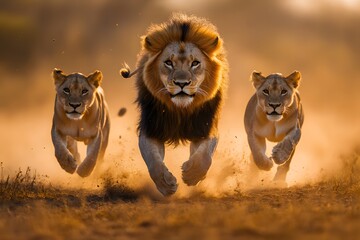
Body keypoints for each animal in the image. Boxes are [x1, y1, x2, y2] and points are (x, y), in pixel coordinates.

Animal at [121, 13, 228, 196]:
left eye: (195, 63)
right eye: (168, 63)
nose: (181, 83)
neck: (181, 109)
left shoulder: (206, 128)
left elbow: (204, 156)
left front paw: (192, 175)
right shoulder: (151, 129)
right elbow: (154, 162)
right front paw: (166, 184)